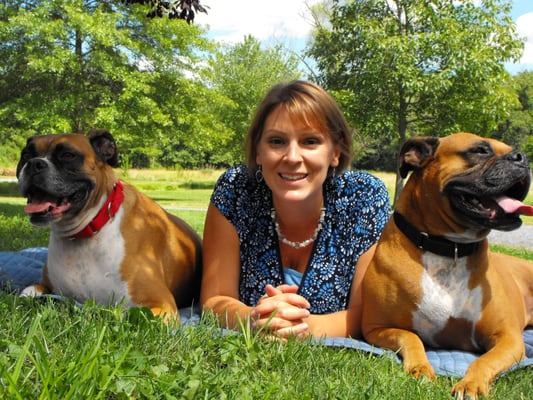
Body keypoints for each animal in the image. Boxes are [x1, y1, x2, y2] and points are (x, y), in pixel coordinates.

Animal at [15, 130, 202, 324]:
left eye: (67, 155)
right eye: (26, 154)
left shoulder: (161, 304)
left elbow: (119, 314)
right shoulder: (44, 286)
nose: (34, 164)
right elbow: (26, 293)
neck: (88, 228)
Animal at [360, 133, 532, 398]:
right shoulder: (377, 328)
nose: (522, 157)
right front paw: (420, 368)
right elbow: (411, 338)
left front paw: (471, 384)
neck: (449, 248)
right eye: (480, 150)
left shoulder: (508, 338)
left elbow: (484, 361)